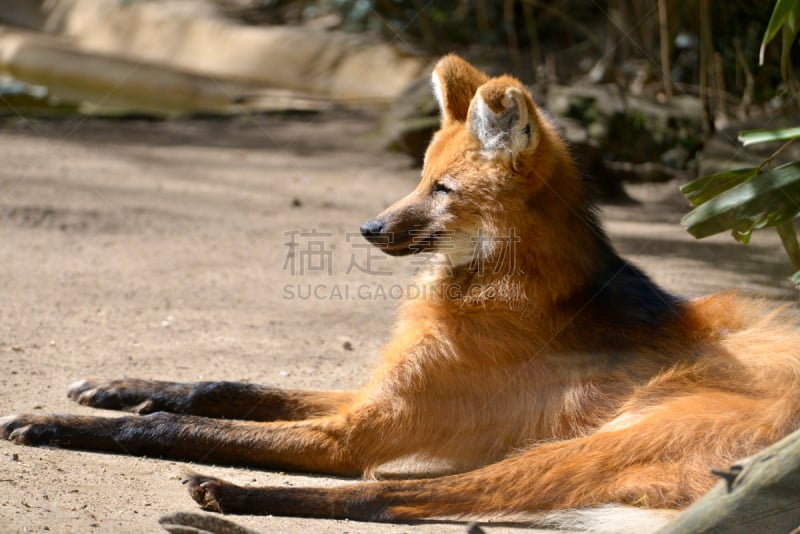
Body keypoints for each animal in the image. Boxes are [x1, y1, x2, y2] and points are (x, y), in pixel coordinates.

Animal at [1, 53, 800, 528]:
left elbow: (176, 425)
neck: (492, 284)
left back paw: (225, 495)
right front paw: (111, 387)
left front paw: (54, 423)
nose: (368, 227)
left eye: (442, 190)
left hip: (604, 441)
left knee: (391, 494)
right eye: (420, 177)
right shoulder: (375, 392)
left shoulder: (360, 429)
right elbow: (218, 386)